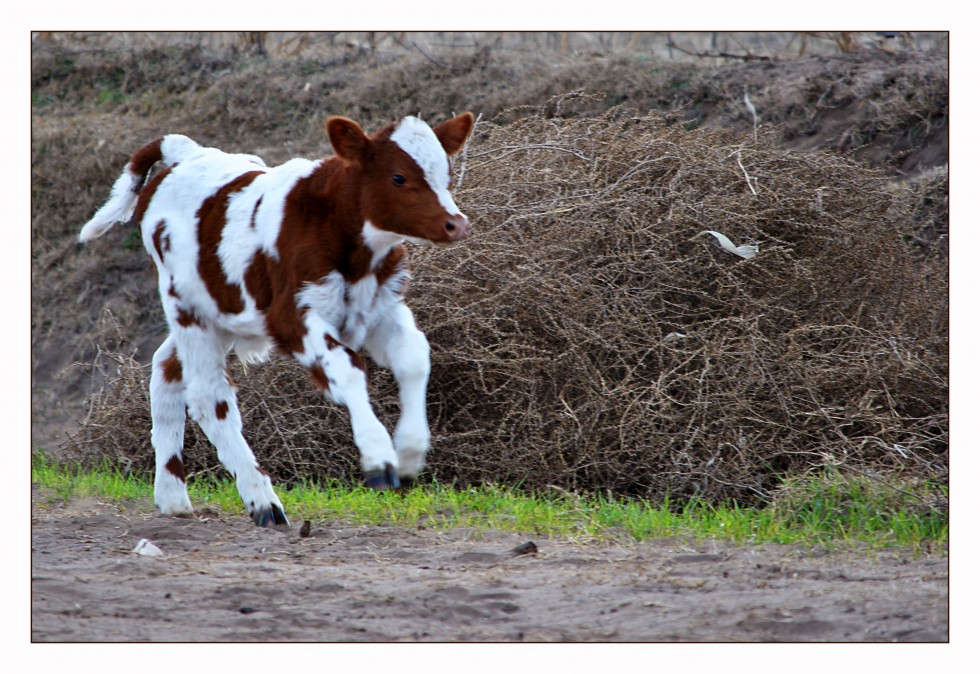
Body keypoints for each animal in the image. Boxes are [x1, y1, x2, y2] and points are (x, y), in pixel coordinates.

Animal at [78, 111, 476, 524]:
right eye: (398, 177)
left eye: (446, 173)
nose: (455, 223)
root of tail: (185, 152)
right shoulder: (293, 316)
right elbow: (349, 368)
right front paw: (379, 457)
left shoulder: (381, 309)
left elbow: (414, 358)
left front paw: (410, 452)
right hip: (186, 308)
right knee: (208, 395)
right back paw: (263, 501)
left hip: (220, 313)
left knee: (166, 369)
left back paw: (173, 497)